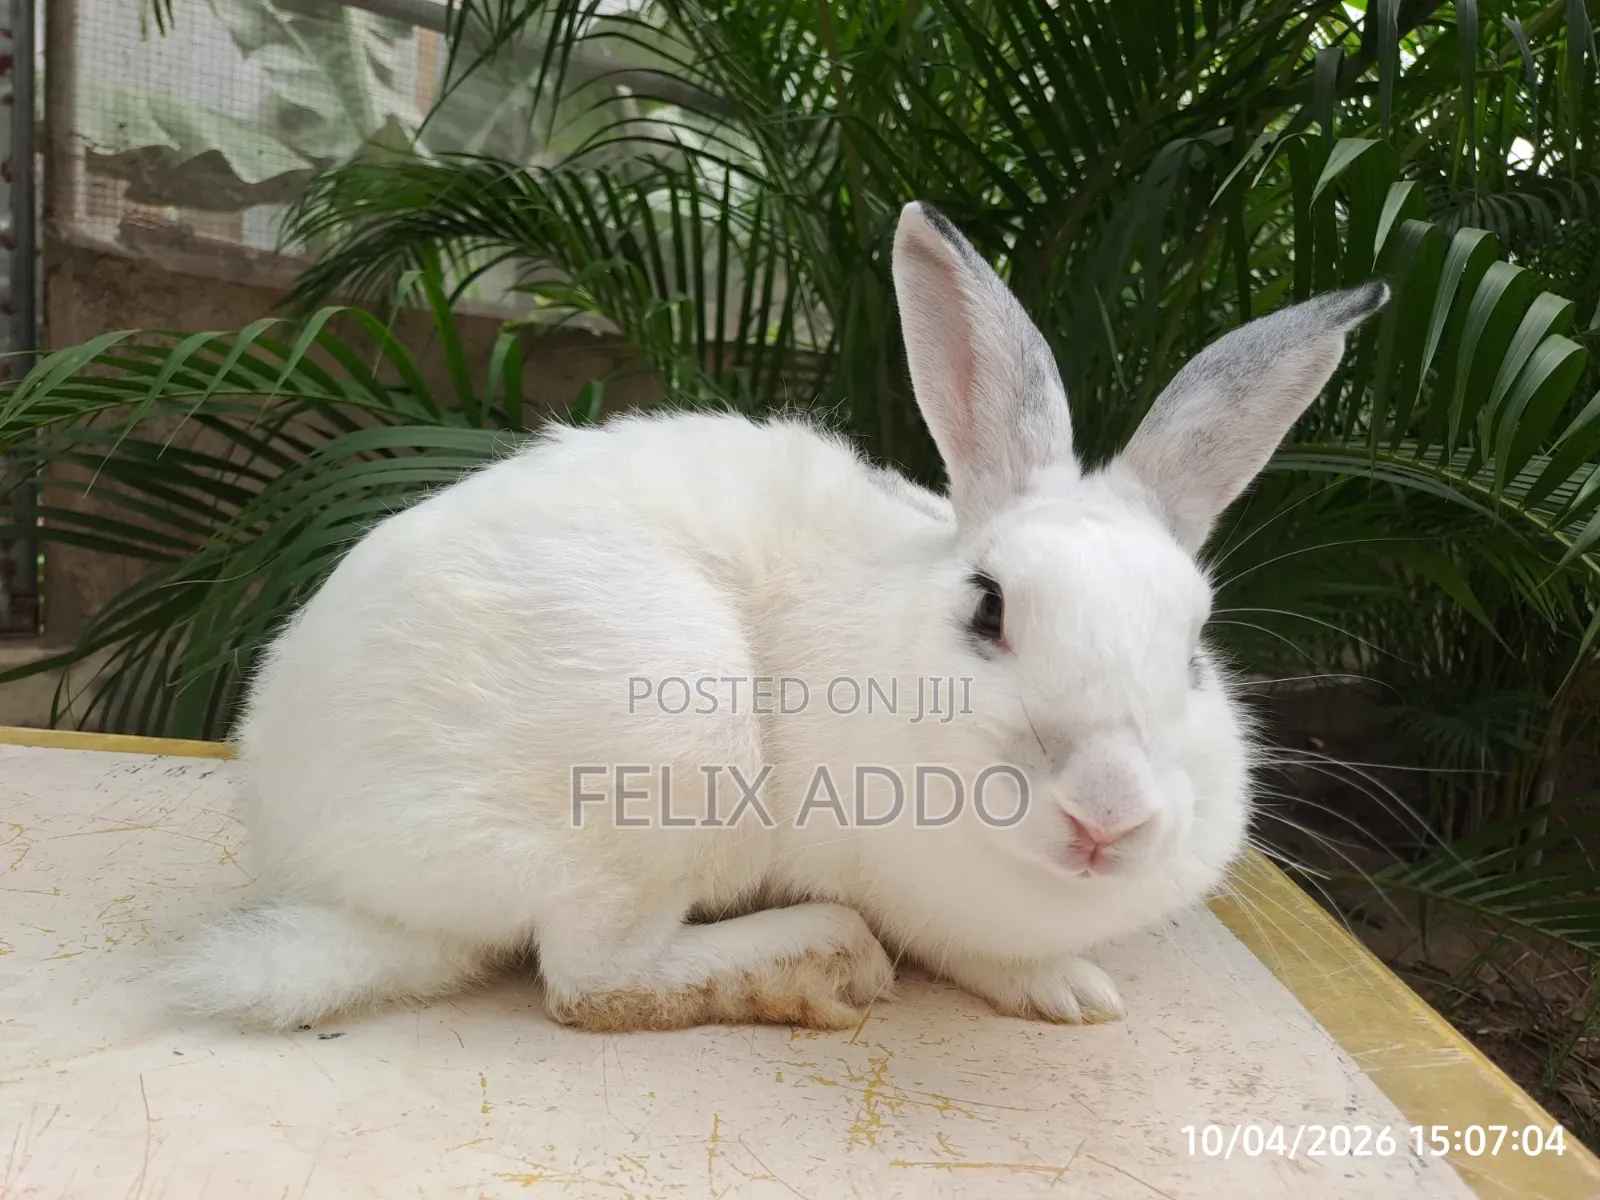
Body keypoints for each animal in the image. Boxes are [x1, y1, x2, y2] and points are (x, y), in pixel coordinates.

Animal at [161, 202, 1387, 1034]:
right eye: (989, 608)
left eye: (1194, 648)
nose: (1108, 816)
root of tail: (324, 866)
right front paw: (1061, 988)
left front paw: (1073, 990)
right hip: (665, 752)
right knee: (593, 980)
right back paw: (820, 959)